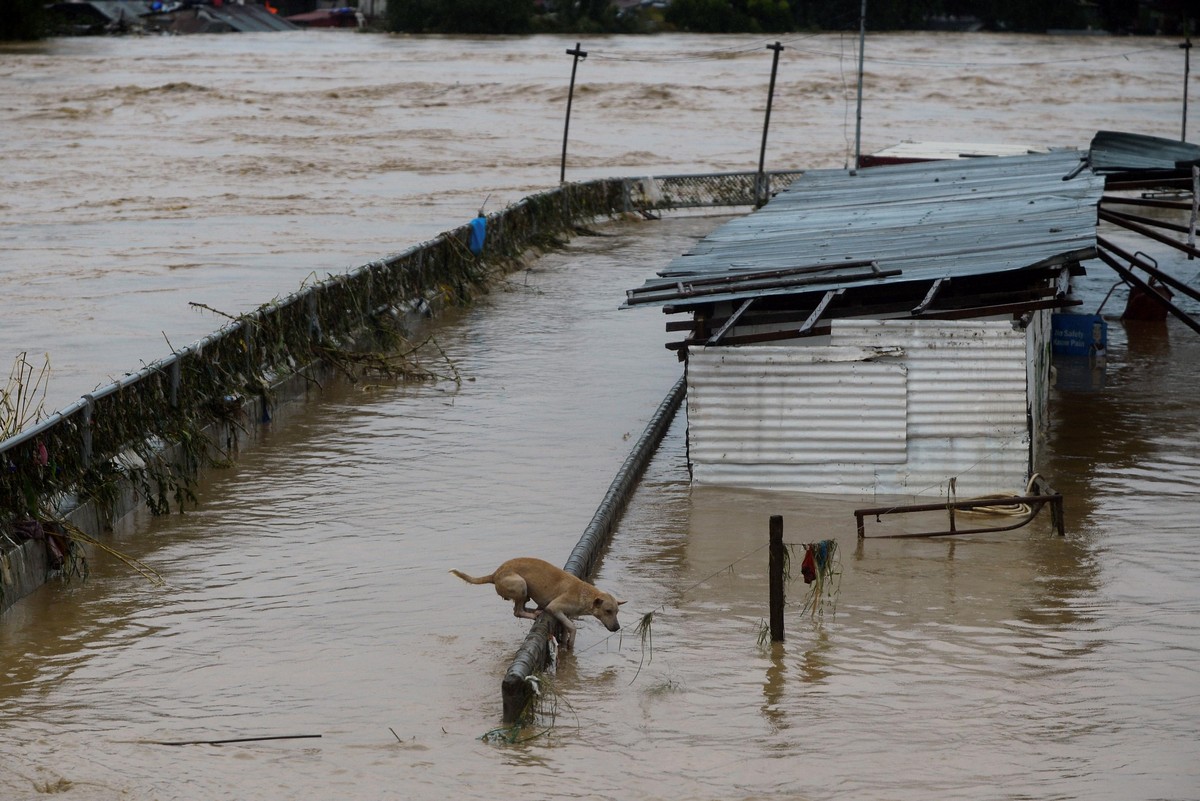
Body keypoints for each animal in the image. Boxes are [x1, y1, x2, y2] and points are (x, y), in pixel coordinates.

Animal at [451, 556, 628, 652]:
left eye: (617, 612)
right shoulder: (555, 607)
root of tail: (495, 574)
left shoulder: (566, 614)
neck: (584, 593)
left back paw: (535, 610)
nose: (617, 627)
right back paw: (534, 613)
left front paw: (565, 645)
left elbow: (566, 628)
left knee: (521, 607)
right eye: (608, 611)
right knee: (517, 611)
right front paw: (571, 641)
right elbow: (572, 627)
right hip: (521, 584)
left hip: (526, 593)